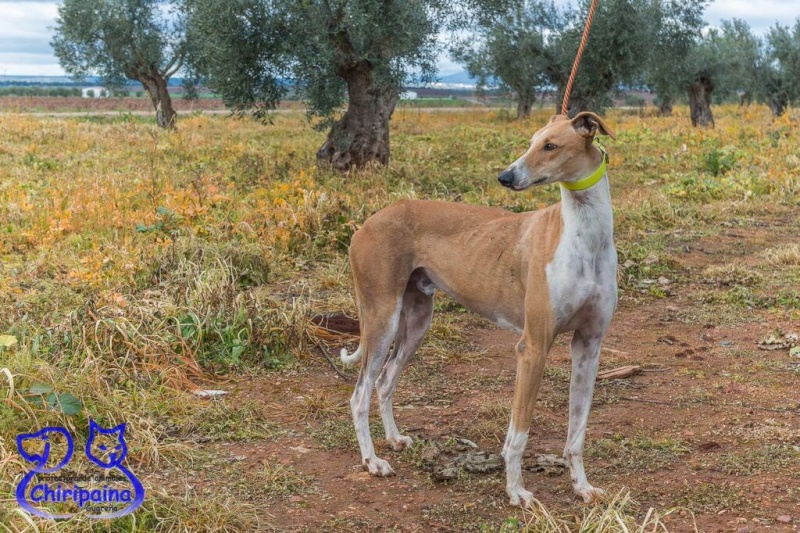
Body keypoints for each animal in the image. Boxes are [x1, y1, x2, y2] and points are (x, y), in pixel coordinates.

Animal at [340, 111, 616, 502]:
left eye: (550, 145)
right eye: (531, 141)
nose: (505, 177)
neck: (584, 237)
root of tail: (368, 221)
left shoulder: (589, 346)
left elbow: (576, 432)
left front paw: (582, 486)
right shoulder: (532, 347)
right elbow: (518, 433)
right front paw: (516, 491)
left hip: (416, 321)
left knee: (385, 380)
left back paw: (393, 439)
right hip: (382, 318)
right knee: (360, 394)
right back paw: (372, 461)